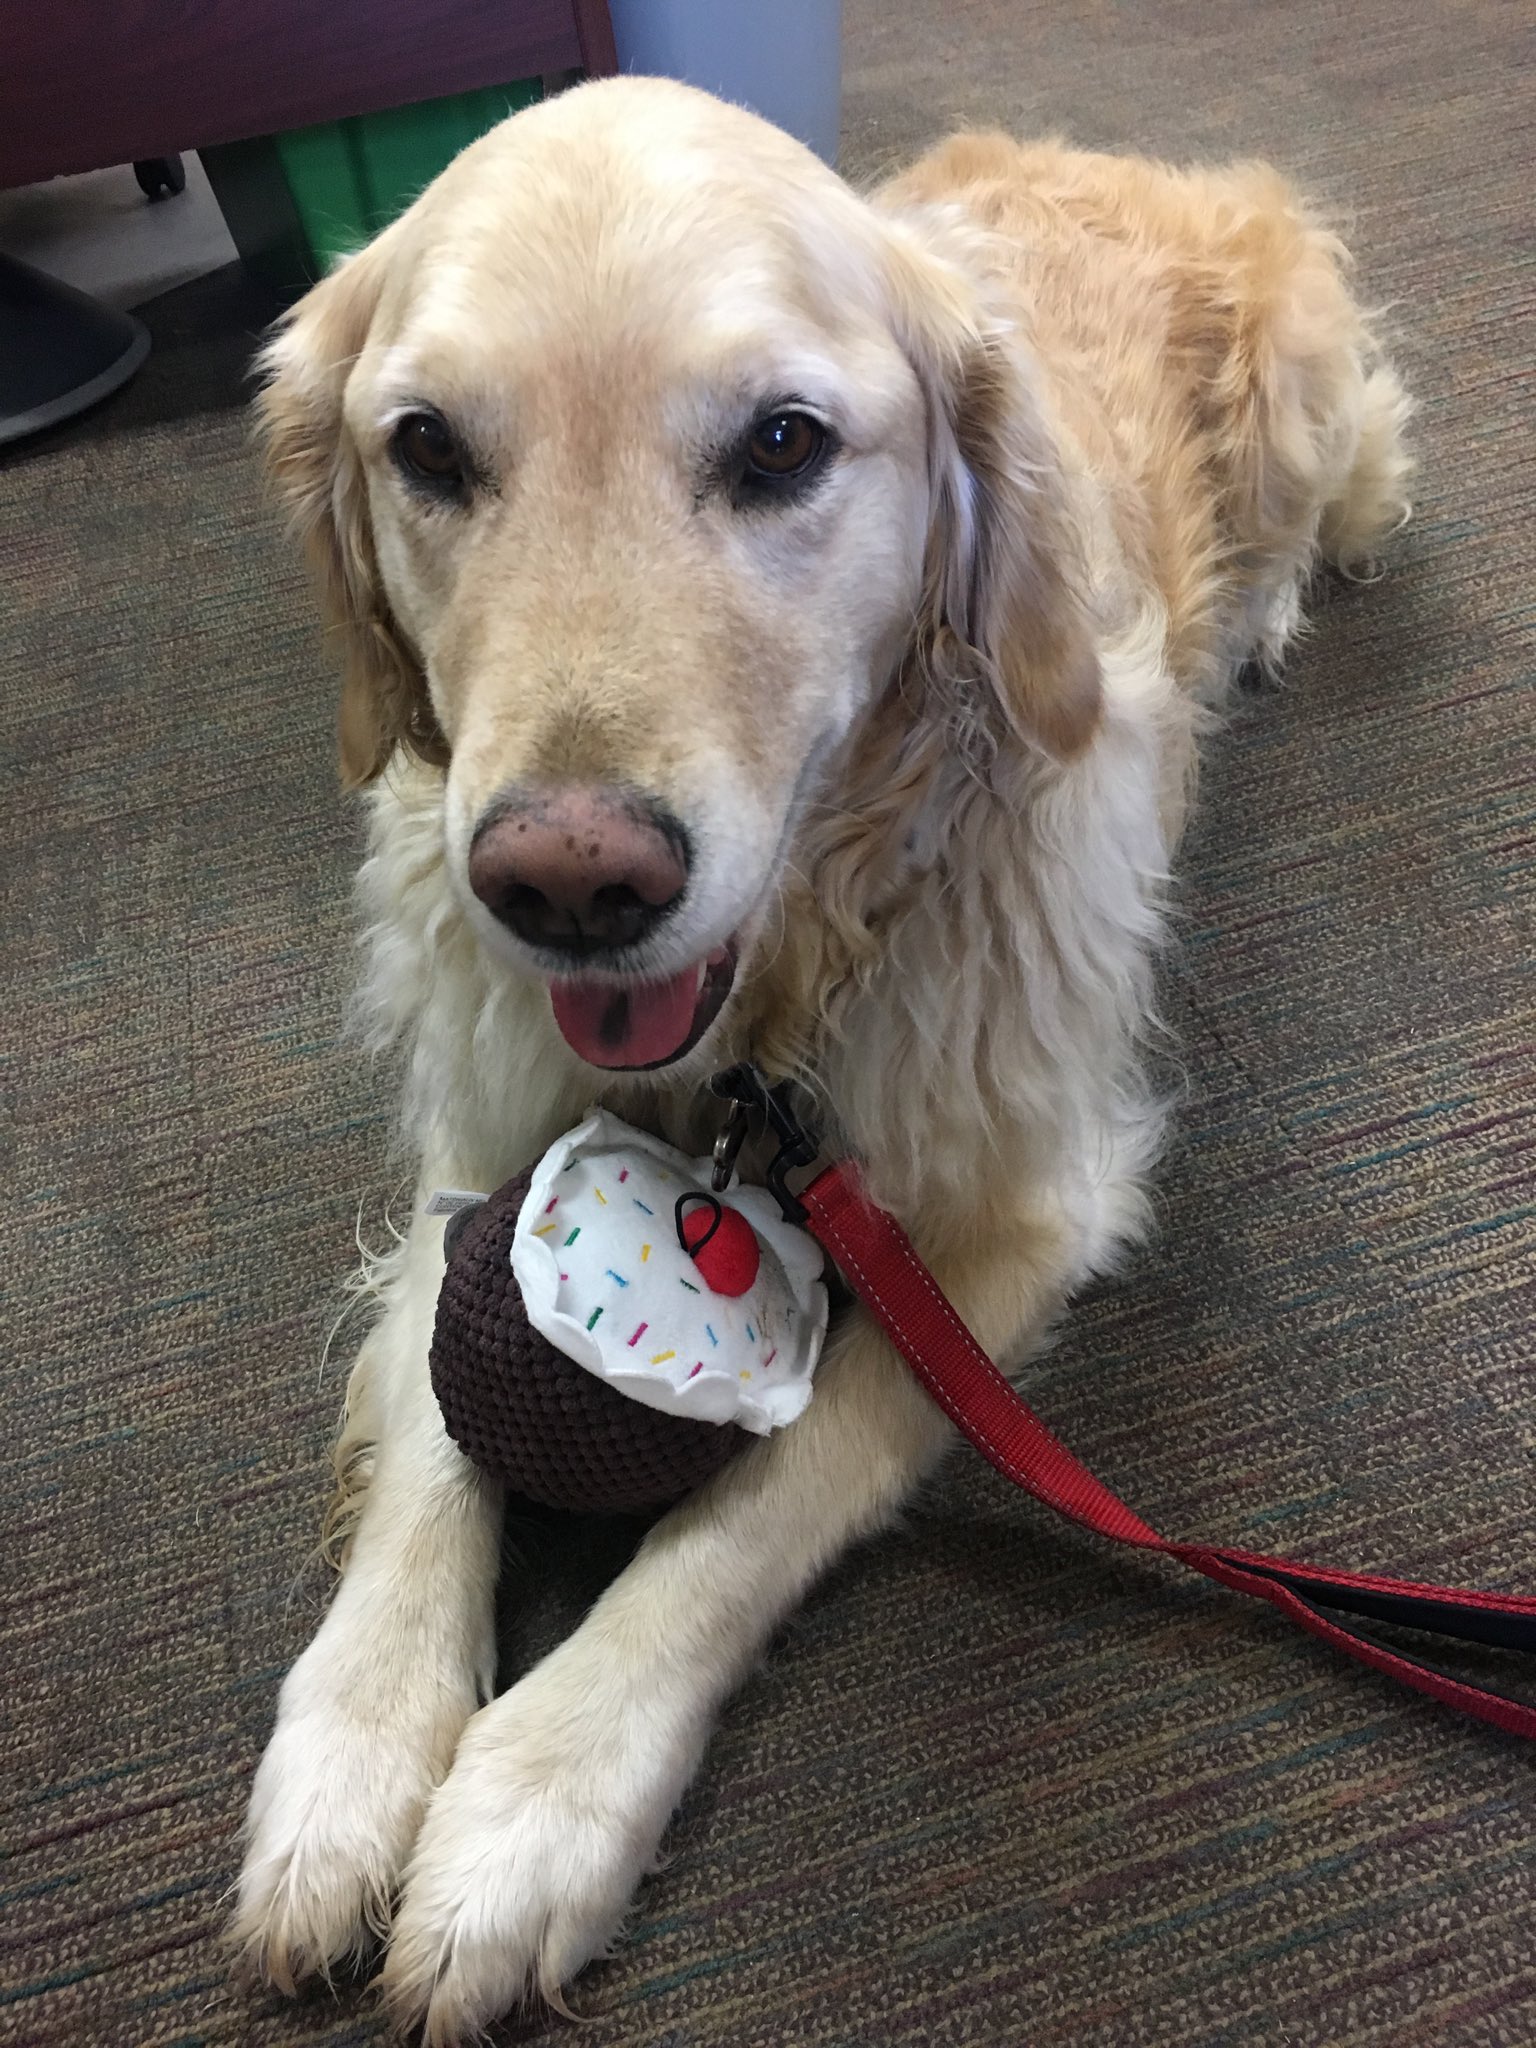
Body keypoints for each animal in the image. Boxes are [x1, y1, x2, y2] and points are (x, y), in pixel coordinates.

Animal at [225, 72, 1409, 2039]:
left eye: (782, 444)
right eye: (428, 449)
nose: (567, 882)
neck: (766, 1018)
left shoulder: (1012, 1223)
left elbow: (759, 1498)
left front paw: (528, 1810)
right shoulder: (476, 1153)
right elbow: (437, 1428)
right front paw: (351, 1760)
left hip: (1317, 402)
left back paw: (1264, 612)